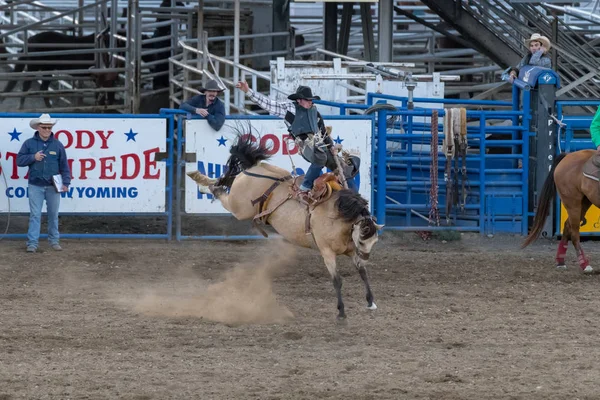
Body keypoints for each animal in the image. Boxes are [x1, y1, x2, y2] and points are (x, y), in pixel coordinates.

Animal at [189, 134, 384, 318]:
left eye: (374, 242)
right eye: (362, 240)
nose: (366, 256)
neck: (339, 217)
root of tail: (254, 169)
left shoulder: (351, 251)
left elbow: (363, 272)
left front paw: (371, 302)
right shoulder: (327, 252)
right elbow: (337, 280)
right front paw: (341, 312)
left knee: (225, 181)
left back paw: (200, 179)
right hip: (239, 208)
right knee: (220, 191)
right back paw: (200, 181)